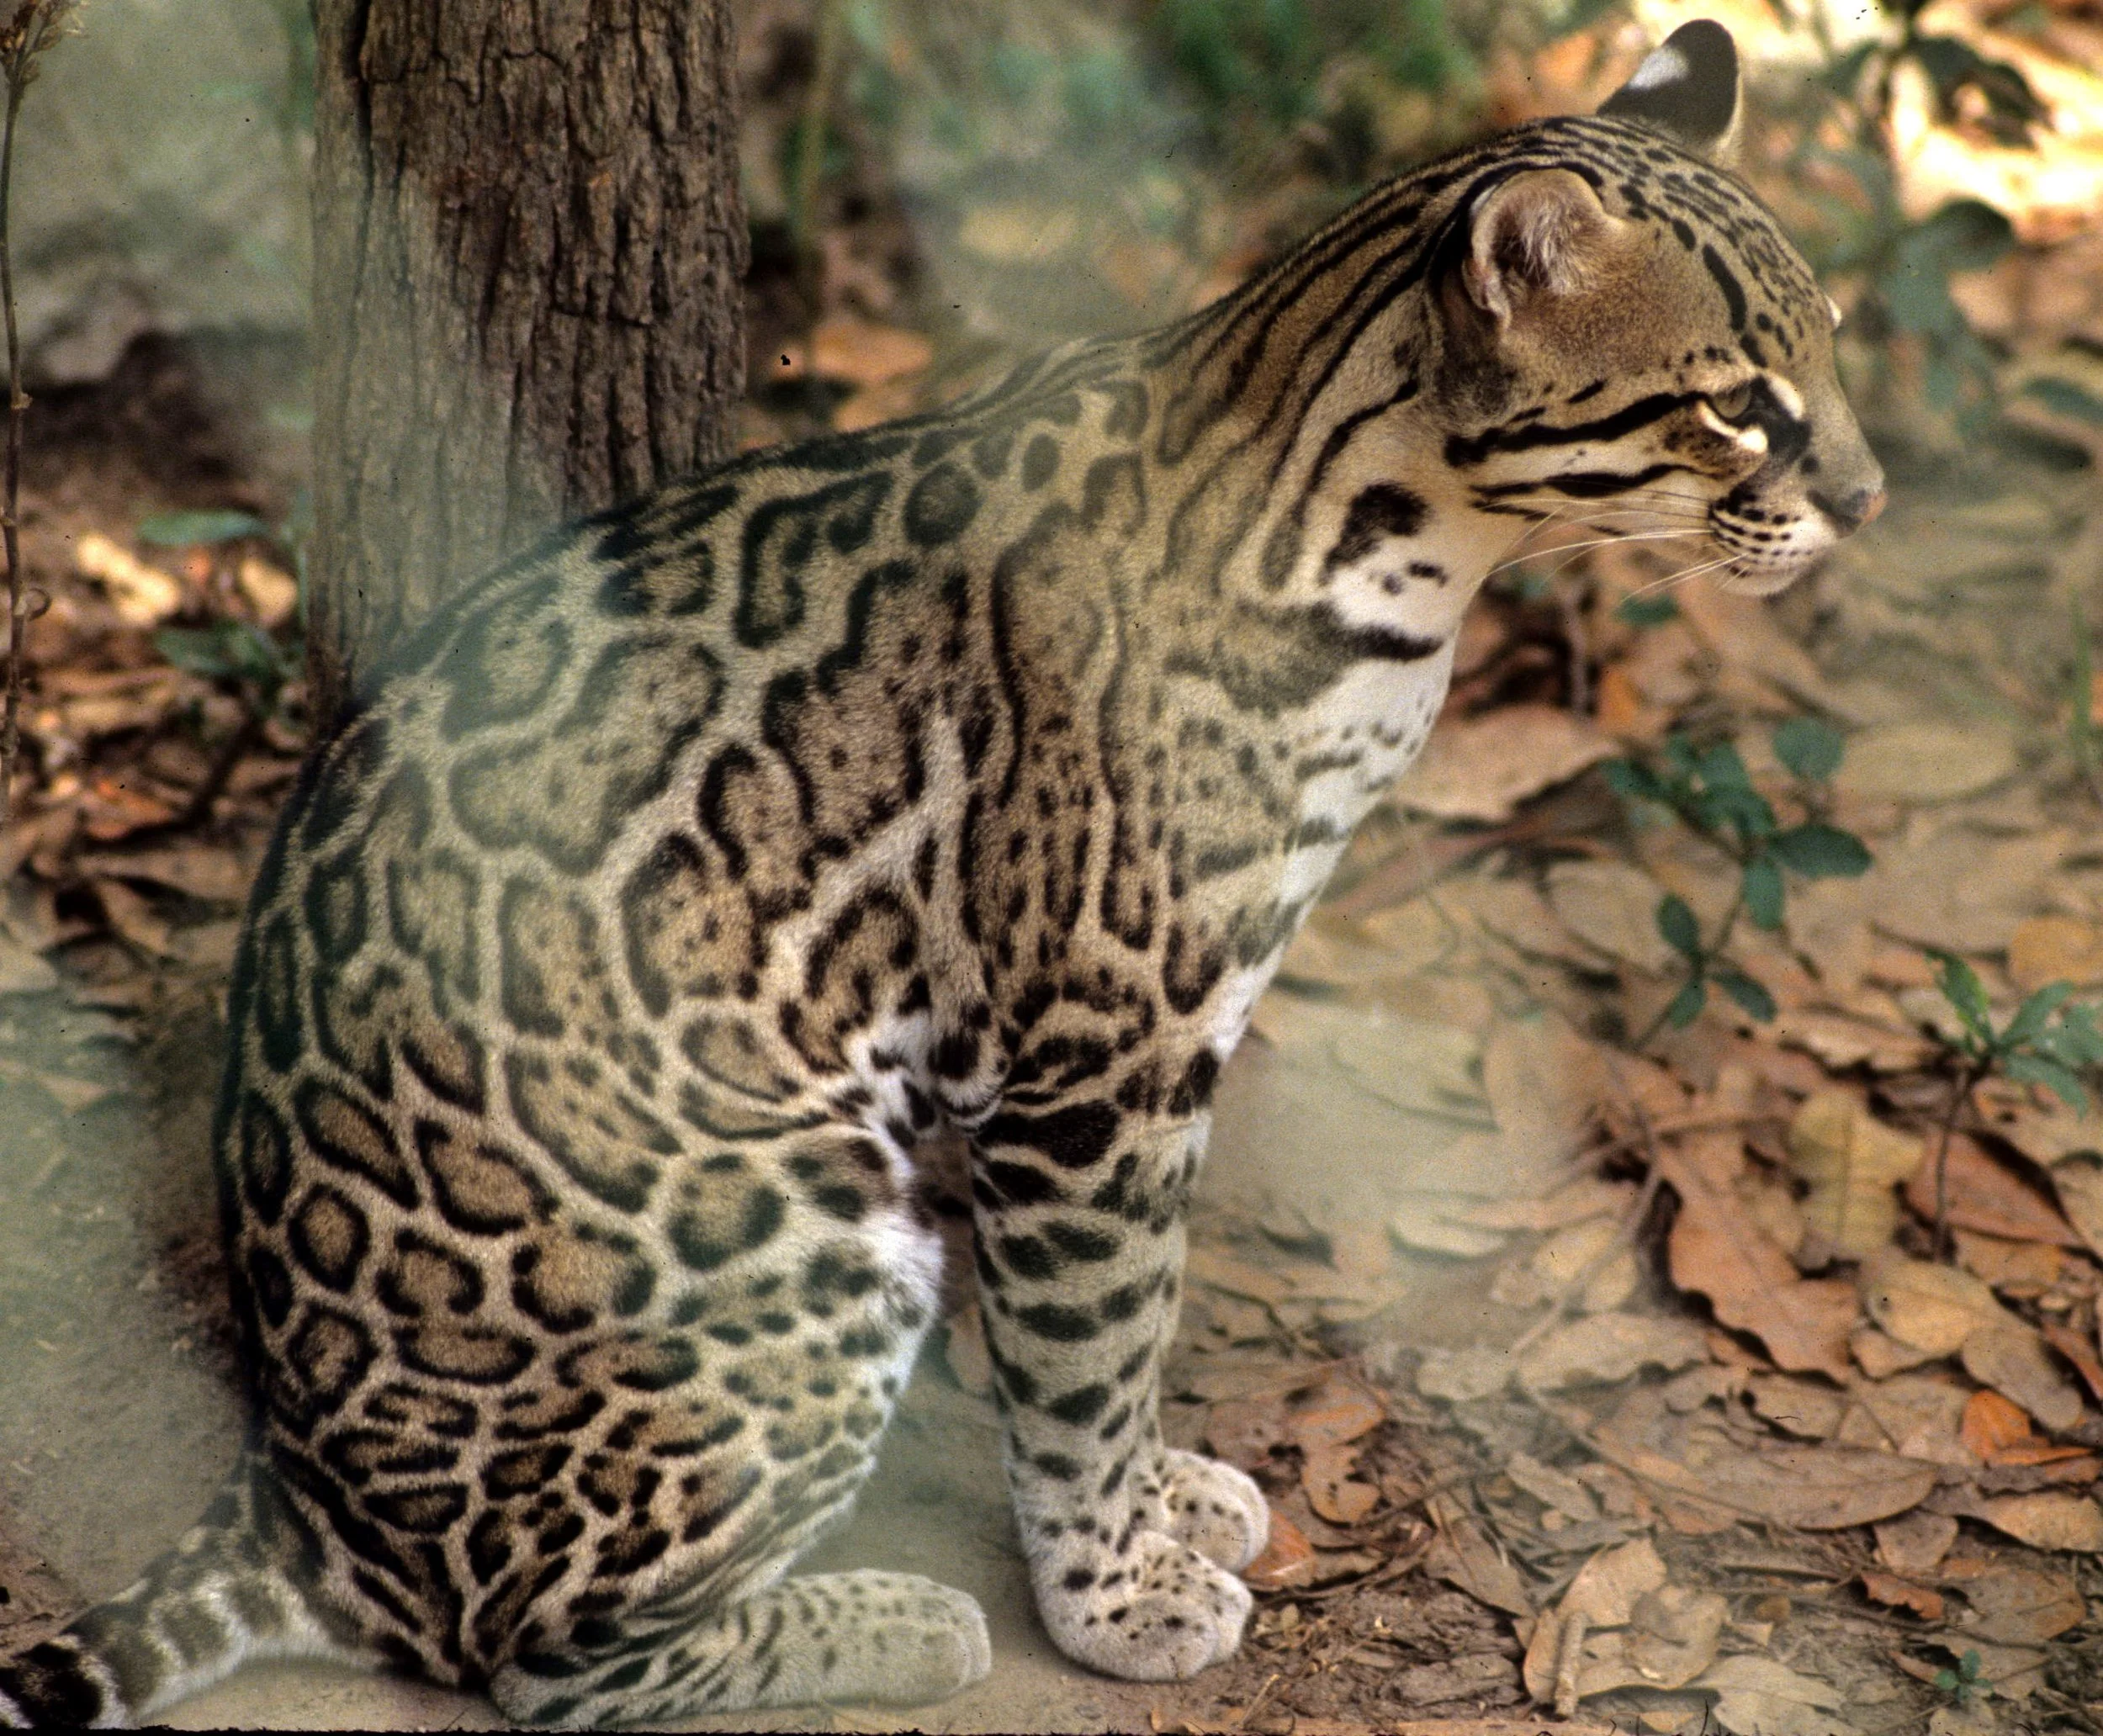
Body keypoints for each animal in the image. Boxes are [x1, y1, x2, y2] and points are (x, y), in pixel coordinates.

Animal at [1, 20, 1882, 1728]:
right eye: (1738, 407)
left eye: (1838, 362)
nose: (1865, 501)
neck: (1389, 557)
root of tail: (304, 1499)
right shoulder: (1100, 1056)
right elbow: (1094, 1341)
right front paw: (1113, 1593)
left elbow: (1128, 1331)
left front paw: (1159, 1500)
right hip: (804, 1231)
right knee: (534, 1655)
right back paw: (892, 1620)